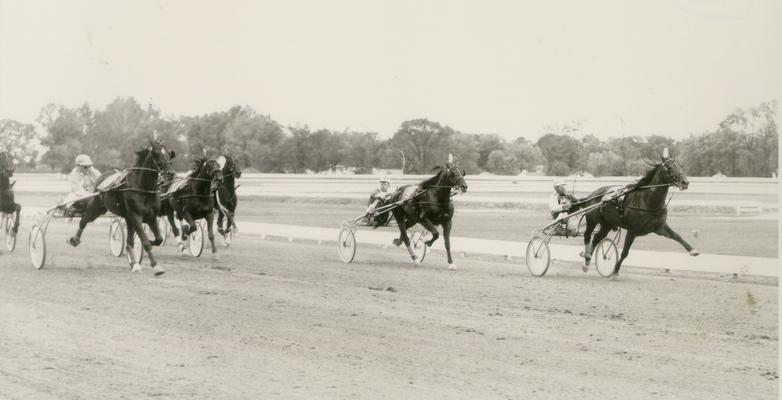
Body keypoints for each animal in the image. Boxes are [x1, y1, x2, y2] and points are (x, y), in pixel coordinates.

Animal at [68, 141, 176, 276]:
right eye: (156, 154)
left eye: (169, 154)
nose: (170, 173)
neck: (143, 189)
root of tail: (101, 177)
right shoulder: (136, 216)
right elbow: (145, 242)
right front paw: (156, 267)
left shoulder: (151, 217)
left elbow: (159, 239)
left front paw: (145, 246)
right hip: (96, 208)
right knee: (84, 220)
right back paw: (75, 239)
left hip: (127, 218)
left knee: (129, 242)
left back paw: (134, 264)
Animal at [580, 148, 700, 280]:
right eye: (669, 167)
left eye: (680, 166)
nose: (685, 182)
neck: (647, 201)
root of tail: (592, 195)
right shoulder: (632, 230)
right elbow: (625, 252)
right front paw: (615, 271)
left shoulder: (660, 227)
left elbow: (677, 236)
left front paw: (693, 250)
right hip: (592, 220)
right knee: (587, 235)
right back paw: (586, 258)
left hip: (607, 224)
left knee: (597, 238)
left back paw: (587, 261)